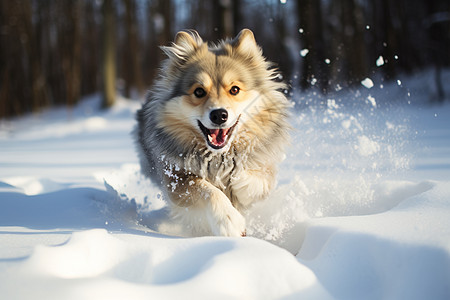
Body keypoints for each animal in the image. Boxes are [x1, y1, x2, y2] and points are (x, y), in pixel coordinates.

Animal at [135, 28, 290, 237]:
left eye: (235, 89)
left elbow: (260, 180)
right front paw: (229, 221)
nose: (219, 115)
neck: (218, 155)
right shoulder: (175, 179)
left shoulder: (264, 165)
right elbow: (207, 190)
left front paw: (239, 179)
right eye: (199, 92)